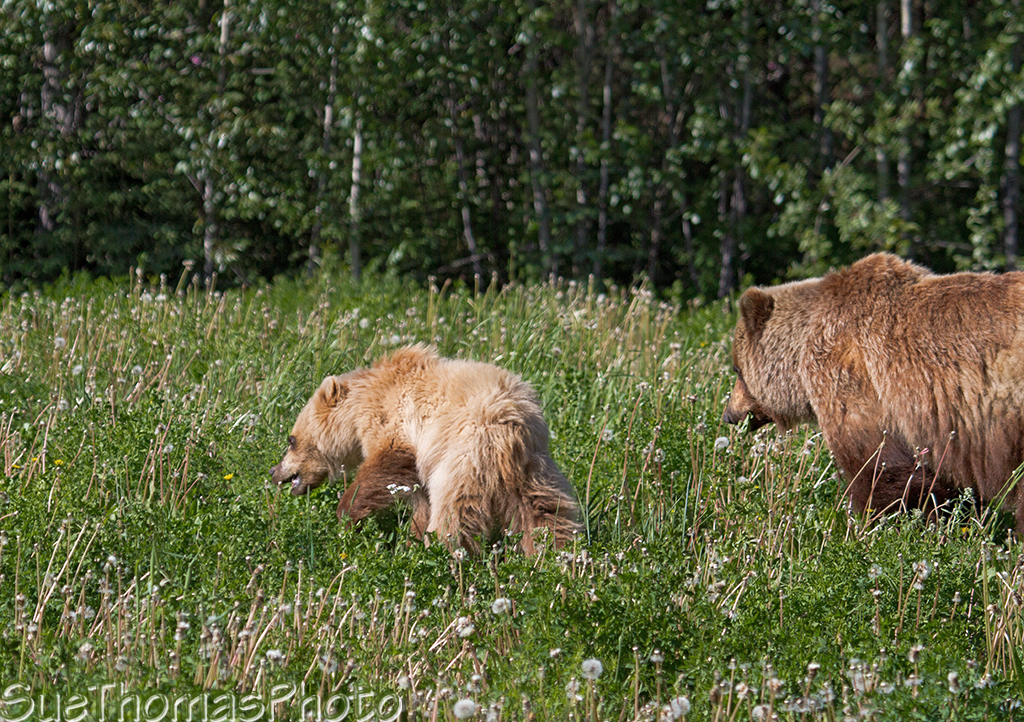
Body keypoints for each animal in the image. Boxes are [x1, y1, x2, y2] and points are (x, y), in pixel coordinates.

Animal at [269, 344, 580, 554]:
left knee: (455, 511)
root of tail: (512, 422)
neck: (358, 410)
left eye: (290, 440)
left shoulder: (395, 422)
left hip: (464, 457)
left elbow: (386, 465)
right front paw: (412, 538)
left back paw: (448, 553)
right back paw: (553, 554)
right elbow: (418, 497)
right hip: (534, 466)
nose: (274, 471)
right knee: (545, 510)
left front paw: (347, 513)